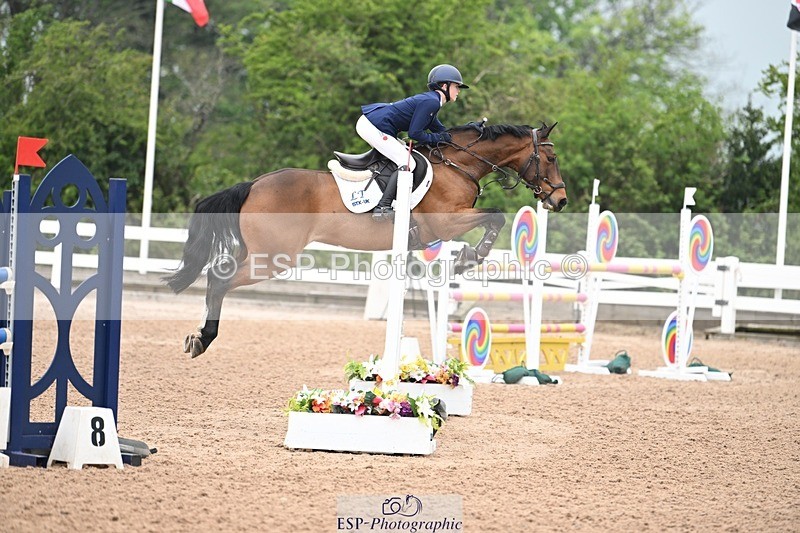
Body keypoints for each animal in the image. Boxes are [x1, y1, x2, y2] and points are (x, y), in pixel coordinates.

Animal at [164, 121, 567, 358]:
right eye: (550, 158)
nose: (560, 201)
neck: (458, 165)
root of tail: (253, 184)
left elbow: (493, 218)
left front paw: (466, 257)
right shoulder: (445, 223)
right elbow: (495, 216)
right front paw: (470, 256)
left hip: (260, 252)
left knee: (218, 276)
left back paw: (199, 337)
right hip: (274, 257)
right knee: (220, 280)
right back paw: (203, 339)